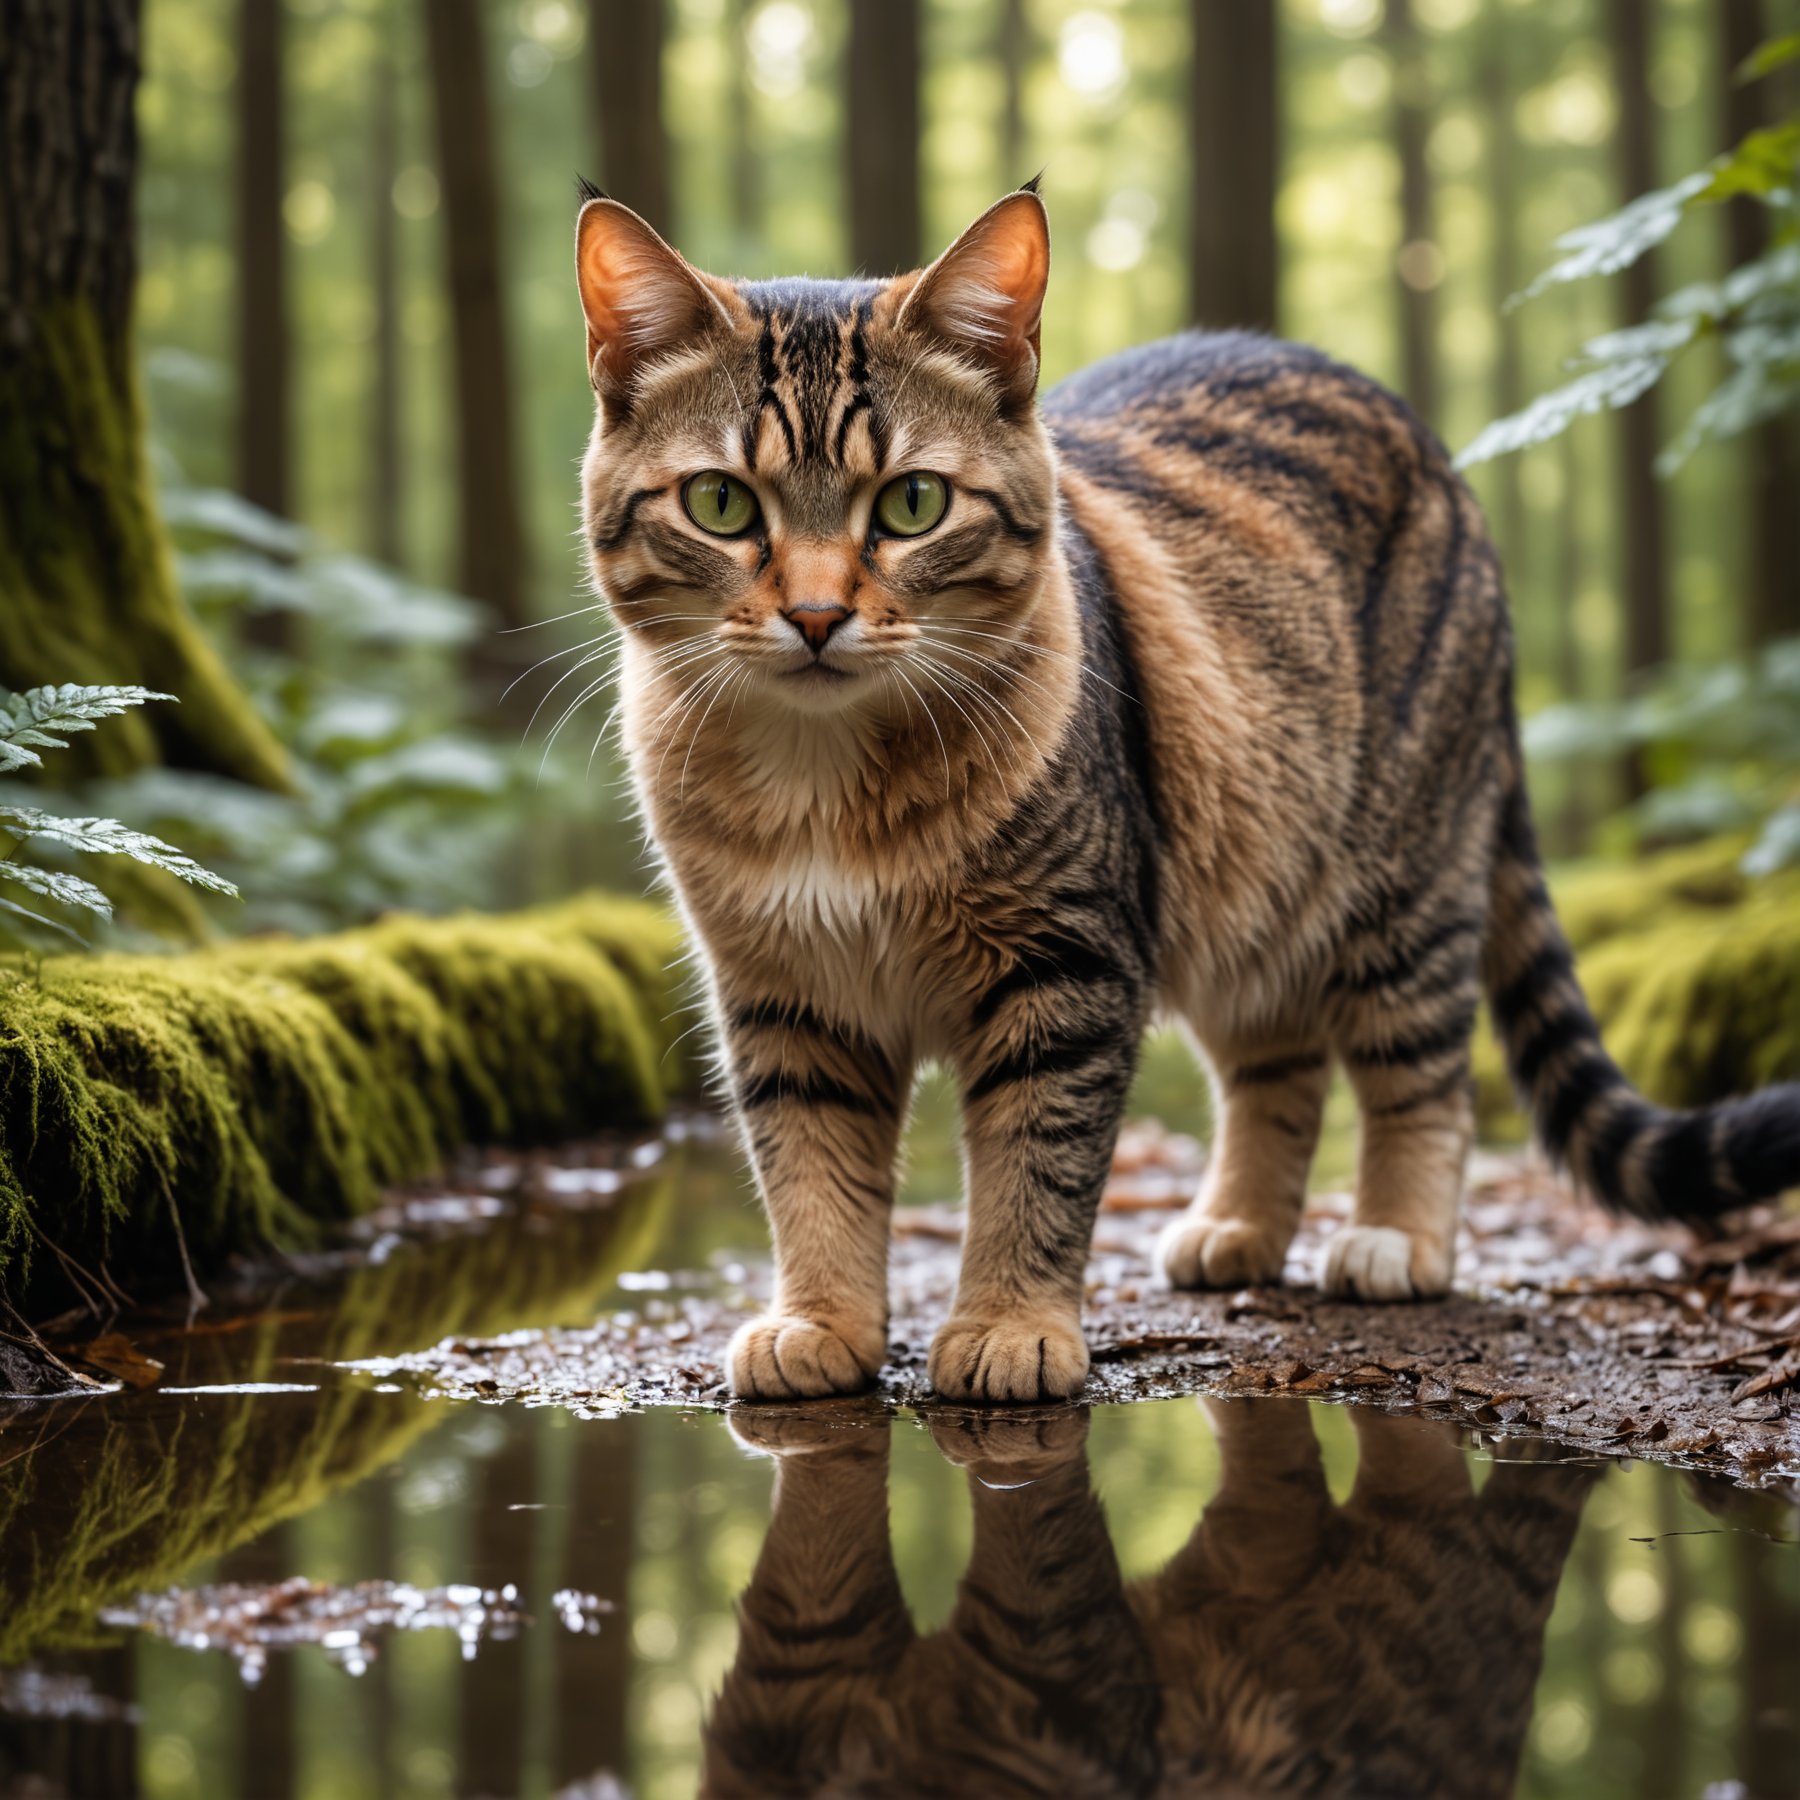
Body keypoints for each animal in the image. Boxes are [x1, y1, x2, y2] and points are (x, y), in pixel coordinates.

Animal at [576, 179, 1800, 1404]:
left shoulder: (1064, 969)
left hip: (1403, 880)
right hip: (1247, 879)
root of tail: (1434, 454)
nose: (819, 614)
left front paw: (1011, 1324)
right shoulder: (787, 997)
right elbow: (810, 1173)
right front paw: (819, 1321)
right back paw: (1238, 1227)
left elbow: (1035, 1165)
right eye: (723, 505)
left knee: (1423, 1073)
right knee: (1281, 1068)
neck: (827, 778)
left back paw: (1397, 1236)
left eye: (914, 503)